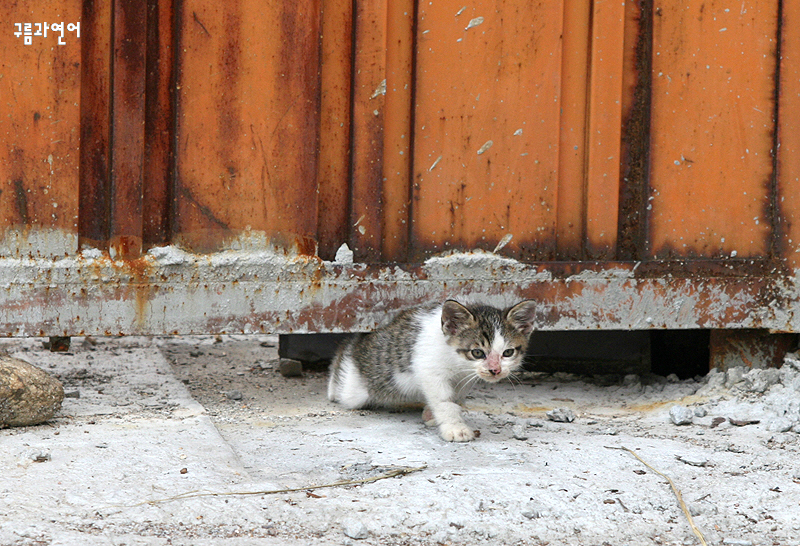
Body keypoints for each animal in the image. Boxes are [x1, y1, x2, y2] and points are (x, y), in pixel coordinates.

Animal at [324, 300, 536, 440]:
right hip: (355, 389)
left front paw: (431, 415)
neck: (455, 359)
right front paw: (455, 427)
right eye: (477, 352)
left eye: (508, 352)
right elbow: (444, 401)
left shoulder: (465, 378)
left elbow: (456, 397)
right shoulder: (430, 371)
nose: (495, 370)